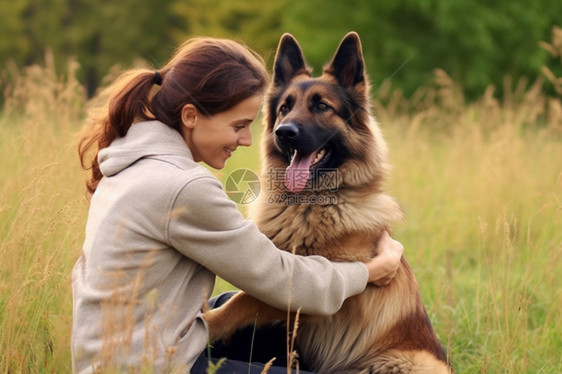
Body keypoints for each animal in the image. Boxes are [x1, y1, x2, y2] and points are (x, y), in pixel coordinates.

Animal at [203, 32, 448, 374]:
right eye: (285, 108)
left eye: (321, 106)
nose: (284, 132)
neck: (308, 206)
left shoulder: (312, 294)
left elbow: (241, 301)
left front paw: (206, 322)